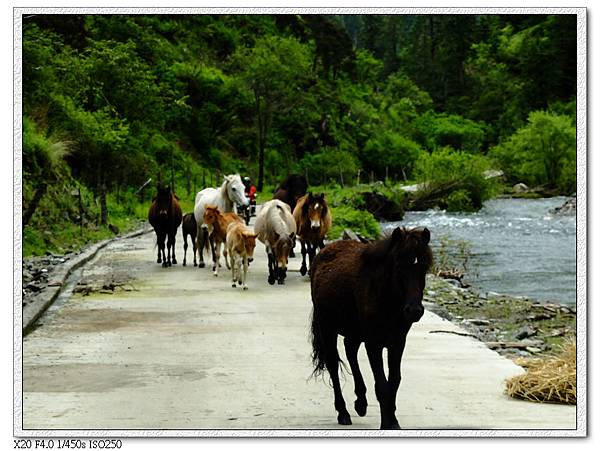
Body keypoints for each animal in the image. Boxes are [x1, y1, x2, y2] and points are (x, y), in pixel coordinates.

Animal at [310, 228, 432, 430]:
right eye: (399, 266)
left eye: (424, 268)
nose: (414, 310)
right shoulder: (373, 343)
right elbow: (381, 384)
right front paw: (386, 423)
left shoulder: (397, 342)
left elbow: (394, 380)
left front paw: (393, 421)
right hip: (327, 327)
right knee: (333, 364)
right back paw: (343, 412)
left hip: (355, 331)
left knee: (350, 350)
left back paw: (361, 402)